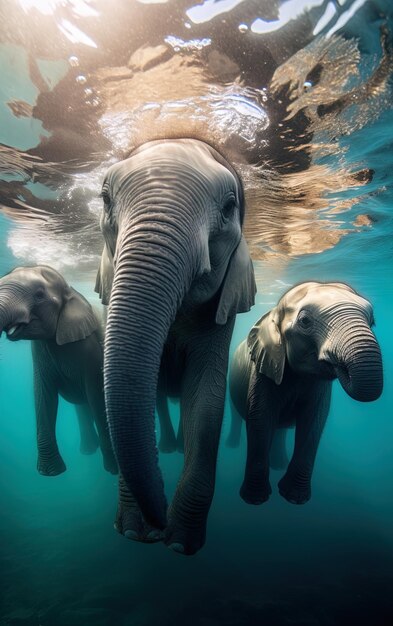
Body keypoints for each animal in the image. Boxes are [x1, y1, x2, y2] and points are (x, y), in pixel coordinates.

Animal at [0, 262, 118, 472]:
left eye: (39, 295)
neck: (71, 292)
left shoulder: (89, 347)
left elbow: (96, 394)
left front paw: (112, 469)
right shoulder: (39, 350)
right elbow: (43, 394)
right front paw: (51, 473)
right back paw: (88, 451)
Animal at [94, 136, 256, 552]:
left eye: (229, 208)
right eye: (104, 198)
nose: (160, 523)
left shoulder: (220, 316)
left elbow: (206, 398)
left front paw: (180, 543)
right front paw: (134, 532)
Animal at [228, 280, 382, 504]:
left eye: (372, 321)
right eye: (305, 321)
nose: (338, 363)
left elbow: (314, 421)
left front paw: (294, 498)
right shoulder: (263, 369)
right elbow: (260, 417)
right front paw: (255, 499)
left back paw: (279, 465)